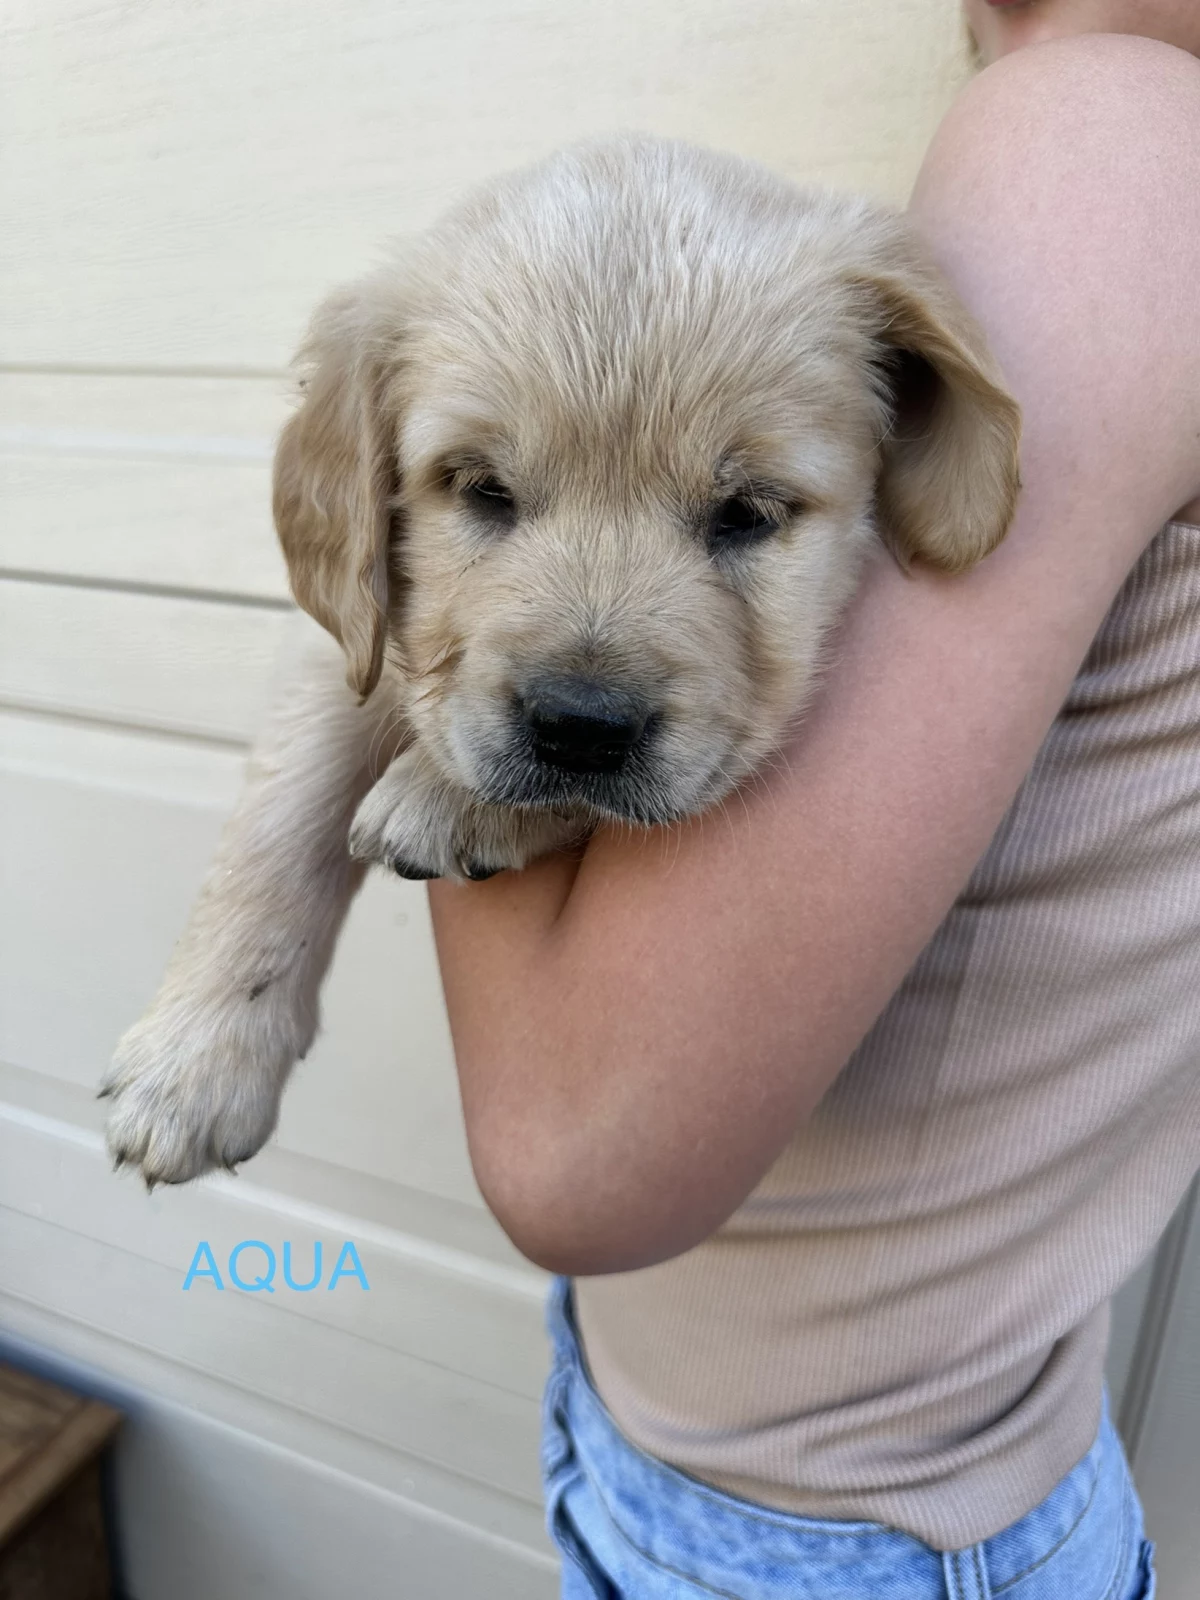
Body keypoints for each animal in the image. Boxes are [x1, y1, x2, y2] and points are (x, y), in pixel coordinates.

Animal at [99, 136, 1020, 1187]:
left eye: (748, 512)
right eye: (481, 490)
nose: (579, 726)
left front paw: (451, 801)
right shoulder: (348, 642)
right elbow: (279, 814)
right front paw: (195, 1059)